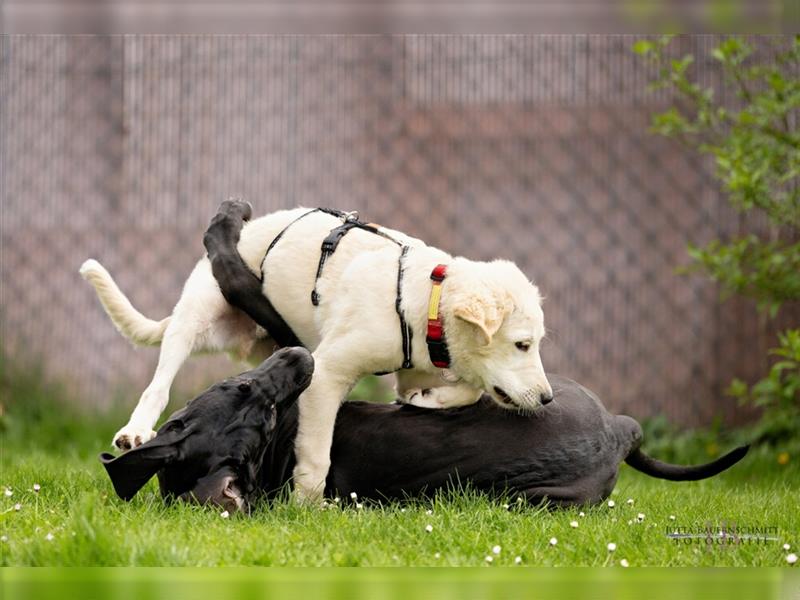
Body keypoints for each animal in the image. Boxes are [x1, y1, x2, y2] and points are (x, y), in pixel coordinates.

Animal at [83, 206, 556, 502]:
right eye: (522, 344)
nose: (548, 398)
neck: (425, 299)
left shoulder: (415, 367)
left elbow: (466, 390)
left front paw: (429, 400)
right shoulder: (325, 375)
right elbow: (315, 454)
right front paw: (307, 507)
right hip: (196, 318)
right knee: (158, 386)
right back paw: (136, 431)